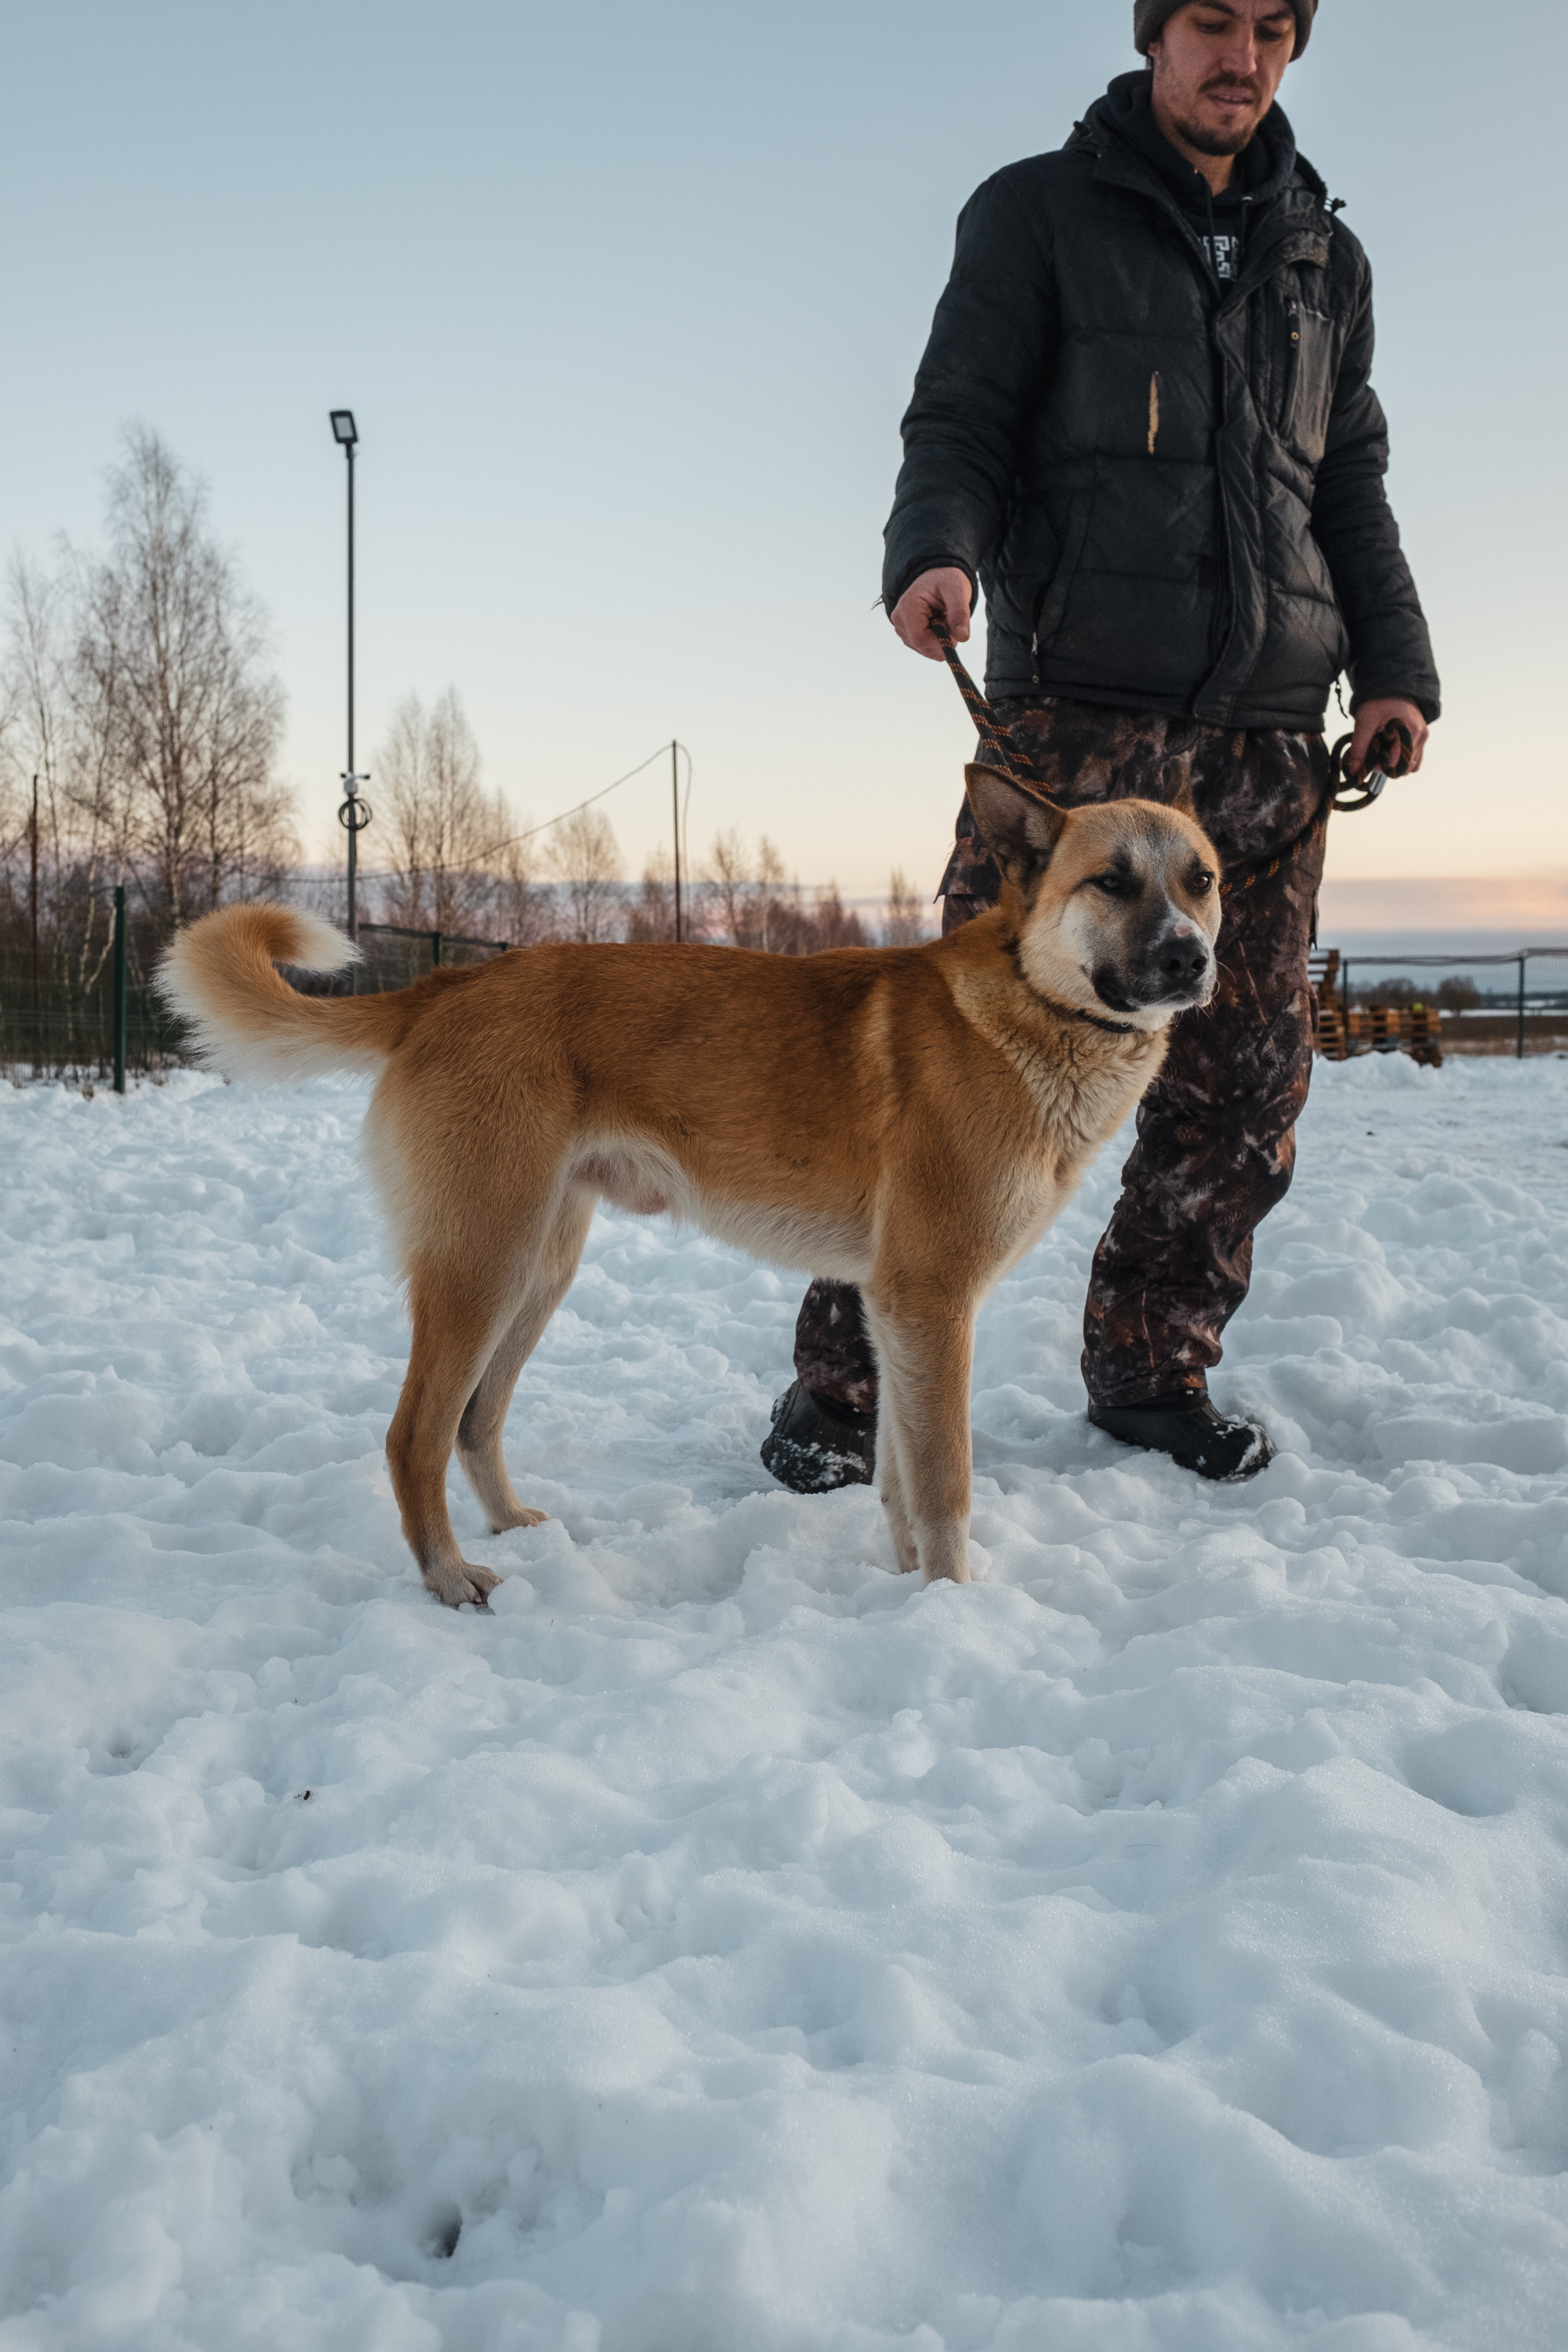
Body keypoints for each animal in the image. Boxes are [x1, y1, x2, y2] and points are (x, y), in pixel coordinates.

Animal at [159, 762, 1222, 1609]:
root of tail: (443, 988)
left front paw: (907, 1589)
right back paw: (449, 1577)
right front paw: (951, 1610)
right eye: (1110, 881)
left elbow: (897, 1480)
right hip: (481, 1265)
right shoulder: (931, 1300)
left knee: (475, 1419)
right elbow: (945, 1483)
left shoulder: (894, 1313)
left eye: (1200, 880)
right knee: (413, 1434)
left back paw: (511, 1526)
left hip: (537, 1267)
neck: (1035, 1010)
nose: (1189, 956)